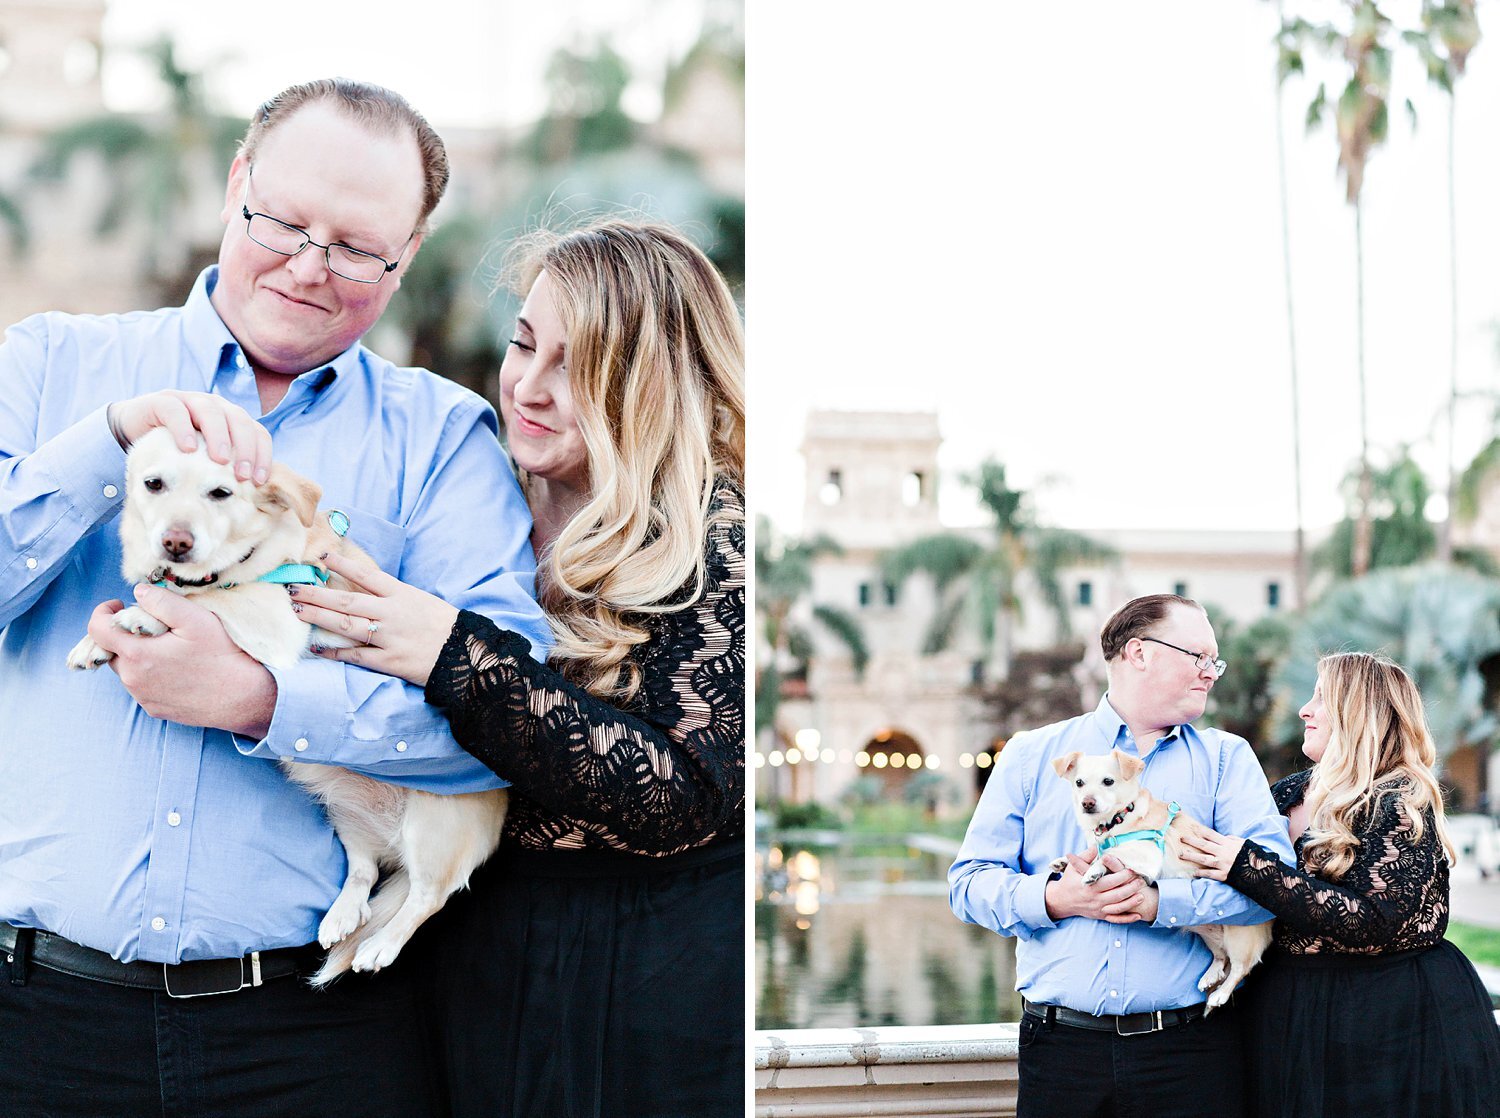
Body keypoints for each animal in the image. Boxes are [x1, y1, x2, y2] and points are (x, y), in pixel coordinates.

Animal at [67, 432, 504, 978]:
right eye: (153, 484)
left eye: (222, 492)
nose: (175, 541)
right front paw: (96, 640)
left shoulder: (270, 615)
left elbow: (203, 602)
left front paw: (143, 618)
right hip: (344, 811)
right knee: (364, 870)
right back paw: (343, 916)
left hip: (431, 828)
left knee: (427, 897)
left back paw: (381, 945)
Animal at [1050, 744, 1272, 1008]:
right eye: (1079, 783)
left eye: (1108, 781)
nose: (1087, 802)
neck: (1117, 820)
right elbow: (1093, 854)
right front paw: (1064, 862)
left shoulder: (1148, 854)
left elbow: (1111, 853)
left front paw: (1093, 870)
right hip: (1208, 932)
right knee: (1221, 958)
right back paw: (1210, 975)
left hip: (1239, 935)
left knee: (1240, 967)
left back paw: (1220, 993)